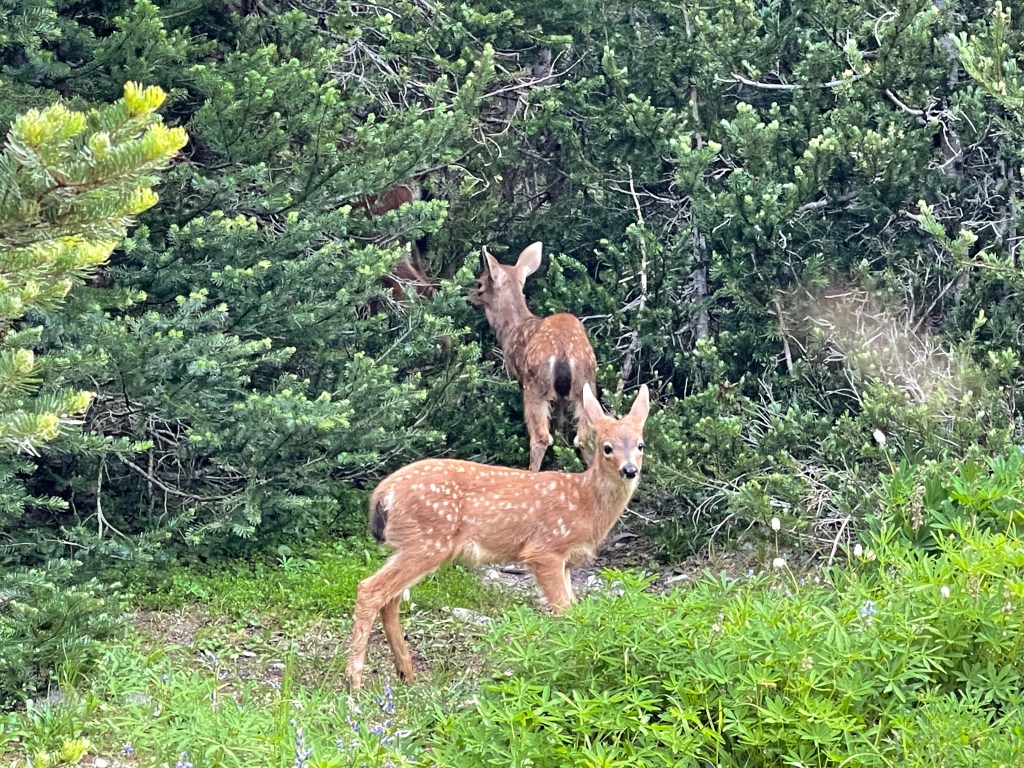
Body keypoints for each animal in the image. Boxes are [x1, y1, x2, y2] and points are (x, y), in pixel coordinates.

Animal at [342, 382, 649, 690]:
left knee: (390, 598)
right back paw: (354, 680)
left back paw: (406, 673)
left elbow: (575, 608)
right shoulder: (546, 549)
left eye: (640, 445)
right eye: (607, 447)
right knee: (370, 589)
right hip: (428, 541)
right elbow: (565, 610)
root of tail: (382, 493)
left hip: (414, 544)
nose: (629, 470)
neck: (586, 504)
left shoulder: (566, 563)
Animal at [469, 241, 598, 471]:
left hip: (536, 384)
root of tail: (563, 353)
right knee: (585, 437)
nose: (468, 297)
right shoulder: (562, 395)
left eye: (479, 283)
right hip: (585, 383)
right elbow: (561, 422)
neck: (511, 329)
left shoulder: (519, 377)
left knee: (541, 437)